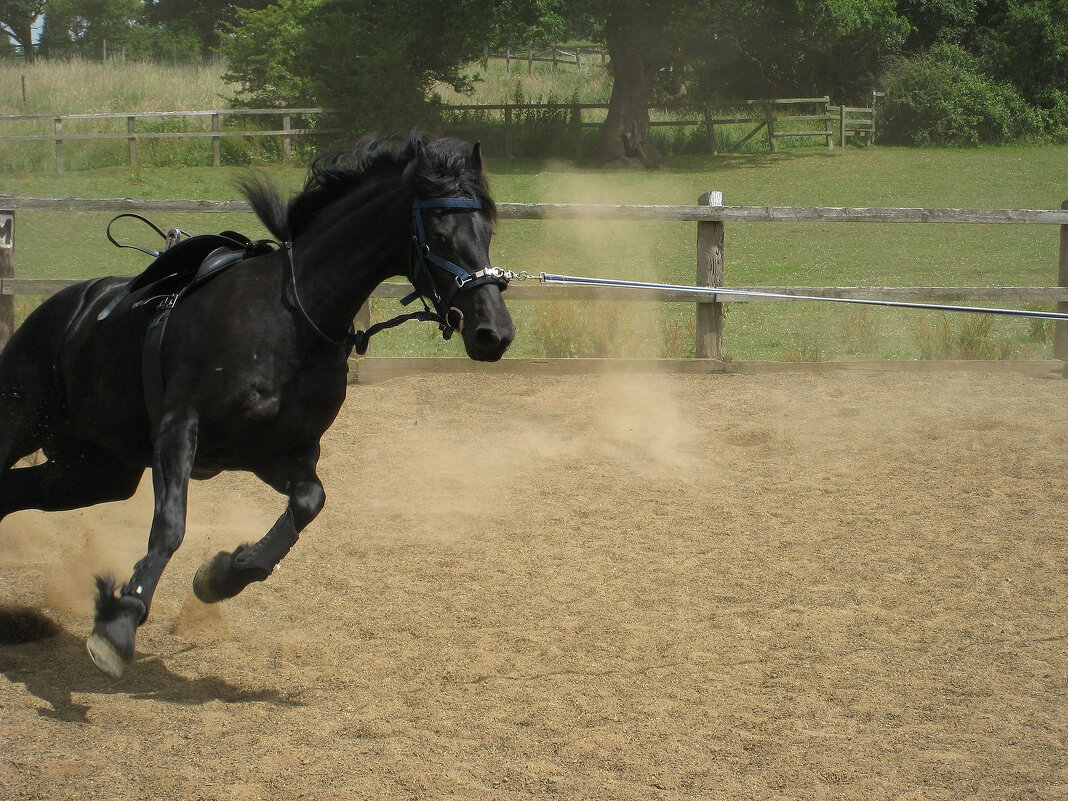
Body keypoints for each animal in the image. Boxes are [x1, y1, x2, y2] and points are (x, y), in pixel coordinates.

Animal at [0, 135, 516, 679]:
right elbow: (170, 526)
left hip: (94, 471)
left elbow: (309, 501)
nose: (494, 332)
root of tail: (62, 309)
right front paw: (119, 624)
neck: (293, 318)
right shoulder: (180, 429)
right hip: (21, 423)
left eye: (487, 230)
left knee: (12, 492)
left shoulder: (276, 452)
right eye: (438, 231)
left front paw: (223, 574)